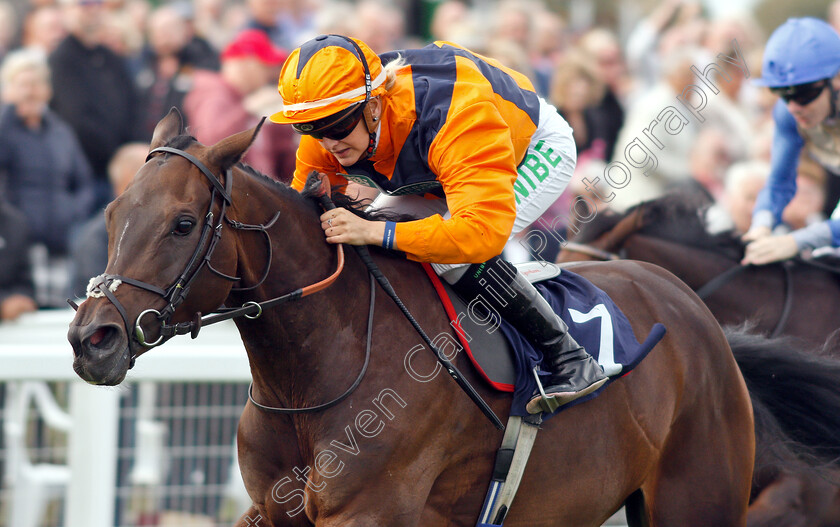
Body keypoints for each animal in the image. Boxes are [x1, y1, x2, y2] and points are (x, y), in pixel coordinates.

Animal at [67, 109, 760, 524]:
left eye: (183, 224)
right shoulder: (273, 507)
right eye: (110, 213)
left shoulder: (371, 510)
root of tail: (688, 303)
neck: (309, 378)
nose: (90, 337)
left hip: (697, 498)